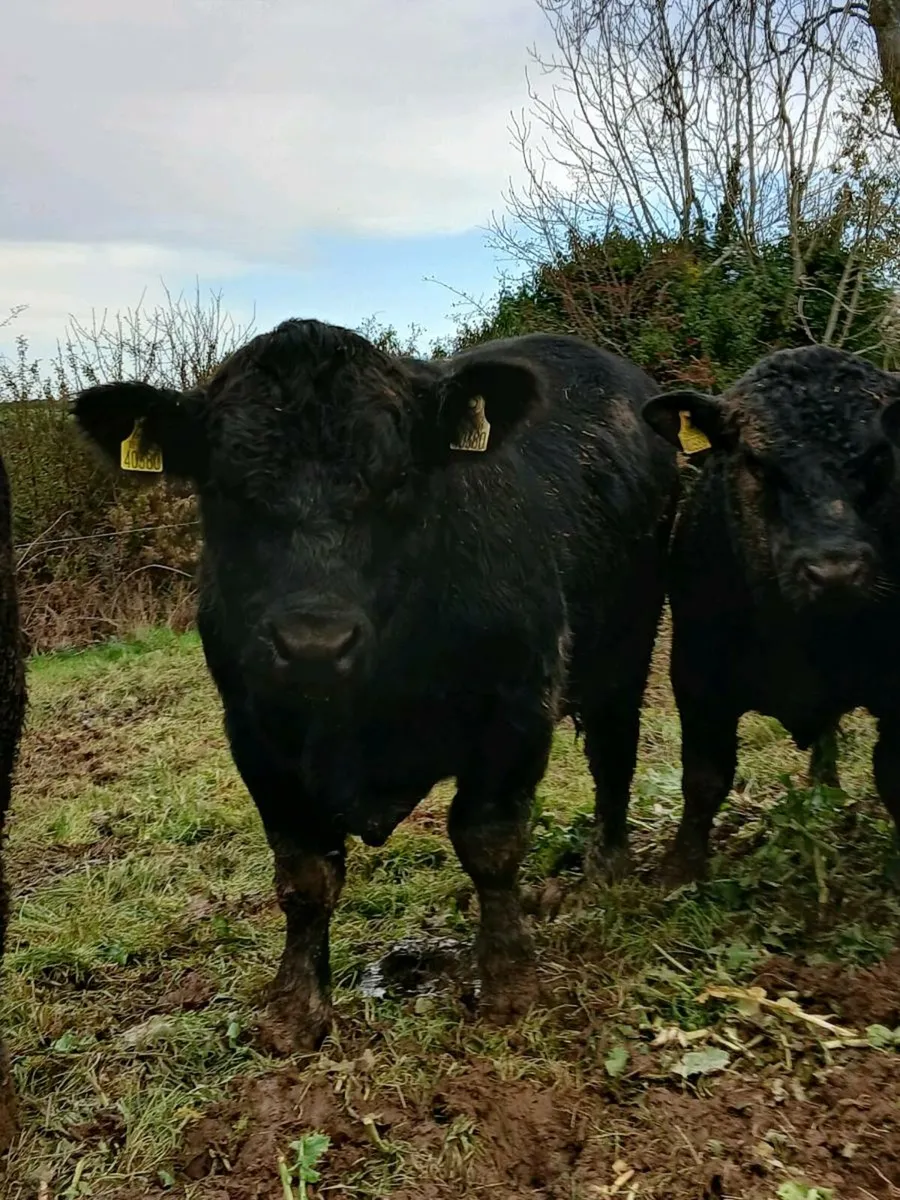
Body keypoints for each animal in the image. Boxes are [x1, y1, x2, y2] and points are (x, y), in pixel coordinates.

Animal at [74, 319, 678, 1050]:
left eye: (398, 481)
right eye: (224, 490)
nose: (314, 642)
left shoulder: (516, 706)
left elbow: (490, 845)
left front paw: (510, 986)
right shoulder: (254, 732)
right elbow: (304, 874)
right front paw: (294, 1008)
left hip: (631, 638)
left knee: (613, 755)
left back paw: (604, 872)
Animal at [641, 344, 900, 883]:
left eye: (880, 456)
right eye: (756, 462)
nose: (835, 571)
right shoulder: (696, 676)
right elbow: (704, 776)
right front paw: (681, 867)